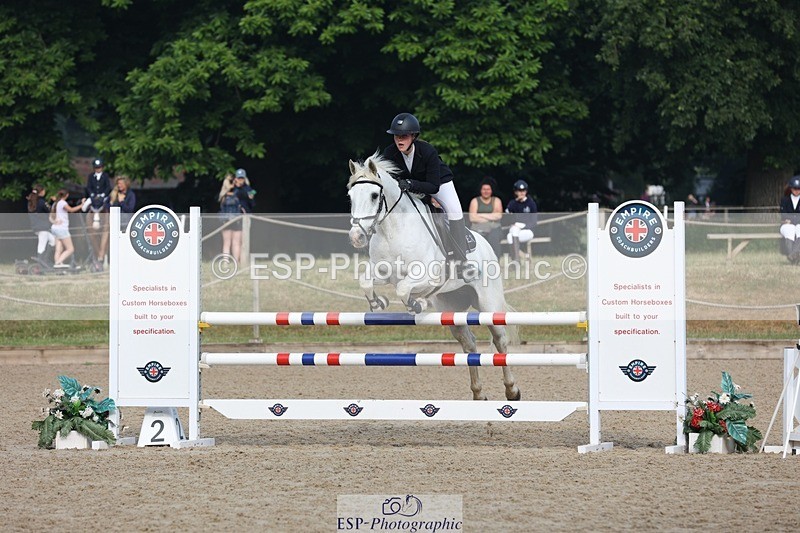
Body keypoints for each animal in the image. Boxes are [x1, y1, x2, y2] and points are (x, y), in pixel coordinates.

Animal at [347, 153, 520, 401]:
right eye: (350, 196)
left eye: (373, 195)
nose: (357, 237)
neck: (393, 229)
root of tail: (486, 244)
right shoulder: (385, 272)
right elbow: (367, 281)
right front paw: (379, 303)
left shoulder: (428, 275)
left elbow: (404, 288)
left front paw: (415, 304)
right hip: (452, 310)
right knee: (469, 344)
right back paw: (478, 394)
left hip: (489, 304)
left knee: (500, 340)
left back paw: (512, 390)